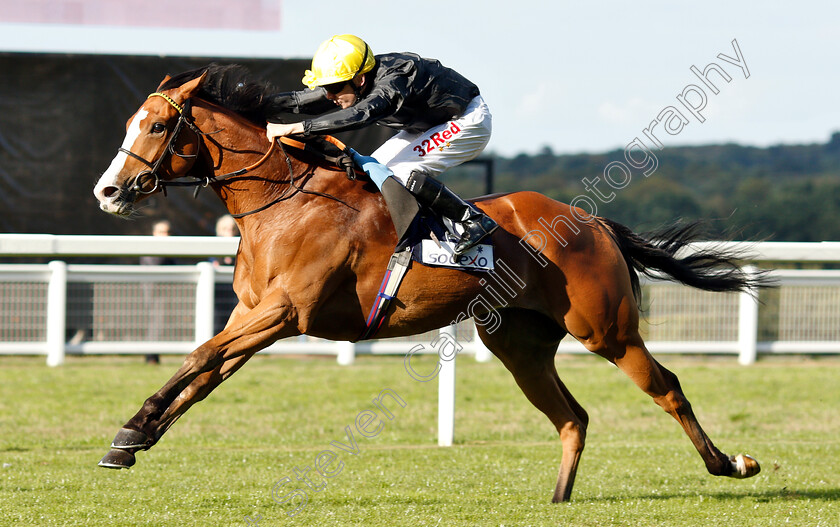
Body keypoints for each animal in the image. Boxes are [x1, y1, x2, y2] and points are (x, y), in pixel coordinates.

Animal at [92, 65, 760, 504]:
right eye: (129, 122)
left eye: (157, 127)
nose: (108, 190)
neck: (283, 199)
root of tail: (593, 221)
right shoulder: (252, 317)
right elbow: (202, 374)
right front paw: (132, 439)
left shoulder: (284, 313)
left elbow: (196, 358)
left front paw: (131, 429)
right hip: (518, 345)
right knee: (572, 417)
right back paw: (558, 500)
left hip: (607, 330)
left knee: (667, 388)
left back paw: (731, 464)